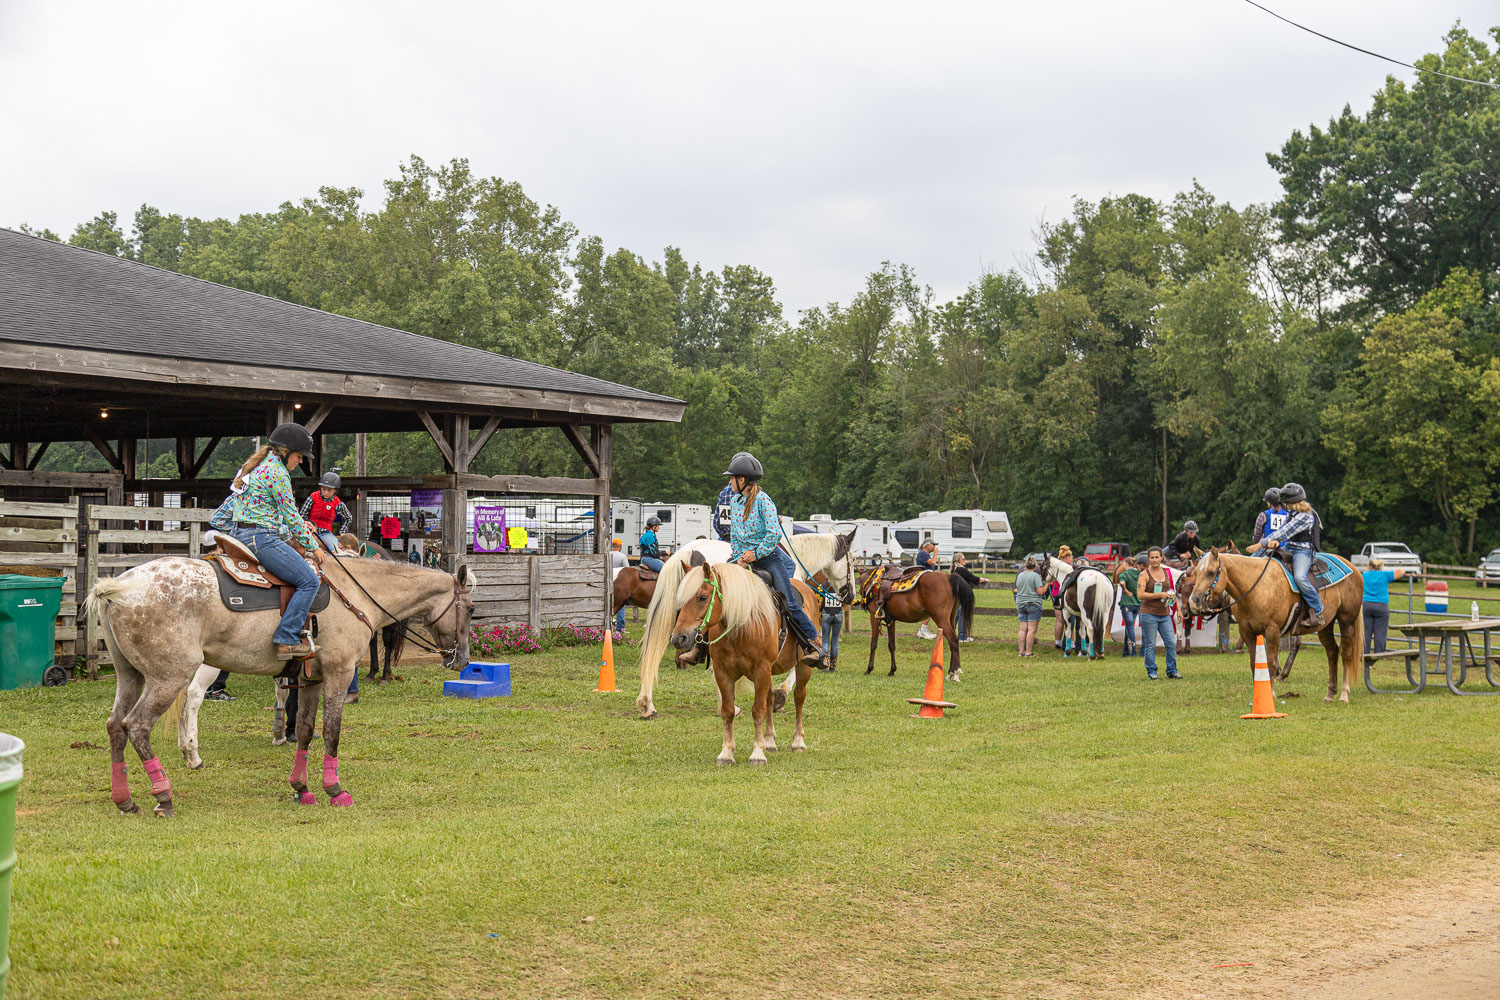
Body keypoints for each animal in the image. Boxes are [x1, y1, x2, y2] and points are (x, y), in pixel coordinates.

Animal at [80, 551, 474, 815]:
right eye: (470, 610)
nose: (462, 660)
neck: (355, 594)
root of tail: (119, 587)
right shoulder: (339, 672)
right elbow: (332, 731)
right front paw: (335, 790)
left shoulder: (311, 678)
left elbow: (305, 730)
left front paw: (302, 788)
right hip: (168, 677)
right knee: (137, 725)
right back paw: (164, 794)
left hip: (131, 676)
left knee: (115, 726)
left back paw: (125, 799)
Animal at [633, 530, 858, 719]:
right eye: (852, 560)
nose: (850, 595)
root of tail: (688, 551)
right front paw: (780, 695)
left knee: (655, 650)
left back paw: (648, 704)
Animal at [669, 563, 816, 767]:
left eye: (702, 597)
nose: (678, 638)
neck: (742, 626)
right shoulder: (723, 673)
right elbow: (728, 711)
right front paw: (726, 753)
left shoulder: (761, 670)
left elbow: (758, 710)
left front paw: (757, 754)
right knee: (771, 698)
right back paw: (769, 741)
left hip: (802, 666)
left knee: (799, 697)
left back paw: (798, 741)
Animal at [1188, 548, 1368, 704]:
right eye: (1195, 573)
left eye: (1211, 572)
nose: (1193, 601)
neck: (1257, 587)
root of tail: (1354, 568)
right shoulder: (1247, 633)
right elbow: (1254, 665)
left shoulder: (1272, 631)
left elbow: (1271, 663)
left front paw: (1272, 694)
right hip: (1326, 626)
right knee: (1332, 652)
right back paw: (1330, 694)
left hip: (1346, 621)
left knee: (1346, 654)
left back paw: (1344, 694)